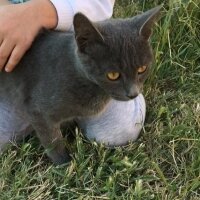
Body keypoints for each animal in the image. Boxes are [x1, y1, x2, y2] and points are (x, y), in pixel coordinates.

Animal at [0, 5, 161, 164]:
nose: (133, 93)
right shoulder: (39, 111)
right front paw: (64, 164)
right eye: (113, 75)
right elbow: (53, 141)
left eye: (142, 69)